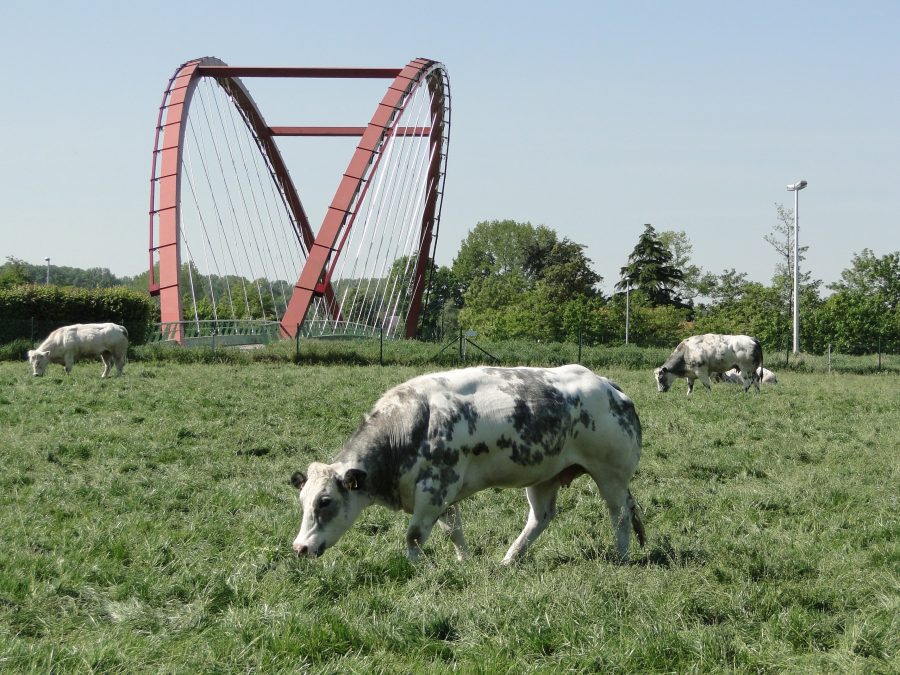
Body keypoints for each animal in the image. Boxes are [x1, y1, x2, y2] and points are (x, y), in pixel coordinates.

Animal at [290, 364, 645, 565]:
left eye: (325, 501)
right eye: (303, 501)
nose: (299, 548)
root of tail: (607, 384)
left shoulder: (434, 489)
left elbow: (414, 536)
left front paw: (416, 568)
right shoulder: (441, 494)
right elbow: (454, 530)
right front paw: (463, 561)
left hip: (611, 475)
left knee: (620, 515)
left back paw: (622, 557)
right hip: (544, 476)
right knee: (540, 518)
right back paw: (509, 560)